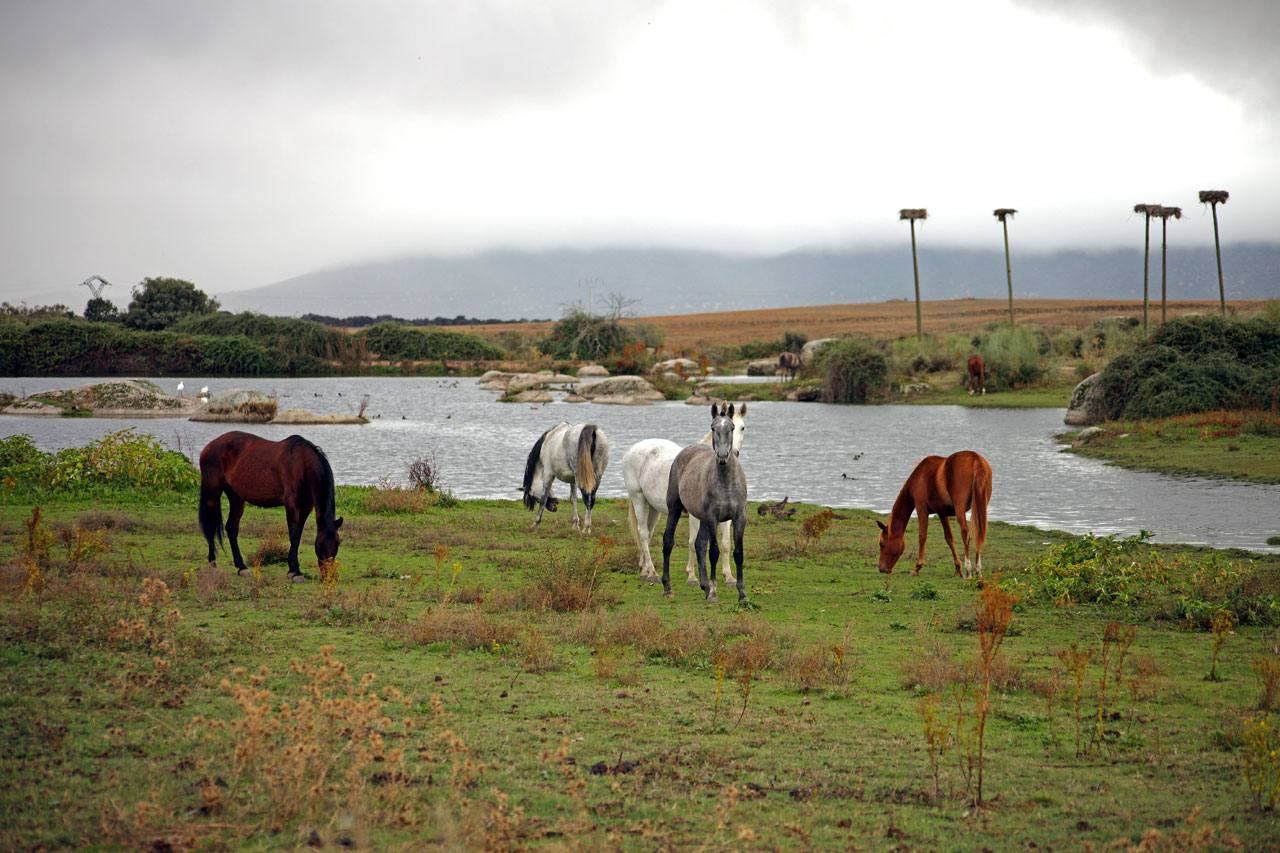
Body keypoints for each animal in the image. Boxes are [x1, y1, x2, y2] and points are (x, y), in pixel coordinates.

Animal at [198, 427, 343, 581]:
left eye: (337, 543)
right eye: (320, 543)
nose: (328, 577)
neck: (302, 464)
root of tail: (208, 447)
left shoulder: (306, 507)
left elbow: (298, 535)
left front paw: (292, 569)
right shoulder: (291, 504)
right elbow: (294, 535)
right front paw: (295, 571)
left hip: (235, 496)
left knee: (231, 528)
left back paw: (242, 567)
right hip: (212, 494)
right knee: (210, 527)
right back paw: (212, 563)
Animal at [616, 402, 742, 581]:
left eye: (741, 428)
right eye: (713, 428)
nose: (730, 454)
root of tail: (631, 450)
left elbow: (725, 543)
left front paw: (729, 576)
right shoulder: (695, 516)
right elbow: (693, 542)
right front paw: (692, 576)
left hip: (653, 507)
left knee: (647, 532)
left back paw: (644, 570)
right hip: (638, 499)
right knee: (643, 532)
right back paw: (652, 572)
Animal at [660, 402, 747, 601]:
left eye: (733, 427)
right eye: (713, 428)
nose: (723, 456)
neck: (725, 482)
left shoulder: (738, 518)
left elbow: (738, 553)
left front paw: (742, 594)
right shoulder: (712, 517)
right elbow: (714, 552)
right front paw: (714, 592)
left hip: (701, 518)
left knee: (699, 544)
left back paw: (704, 585)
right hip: (675, 508)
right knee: (668, 541)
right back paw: (668, 587)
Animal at [880, 445, 988, 578]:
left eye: (882, 544)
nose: (881, 569)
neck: (919, 476)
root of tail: (976, 459)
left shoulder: (921, 508)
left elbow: (922, 536)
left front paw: (917, 567)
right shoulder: (942, 513)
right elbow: (949, 538)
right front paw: (957, 568)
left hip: (960, 510)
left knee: (966, 534)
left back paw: (969, 571)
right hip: (980, 508)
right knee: (978, 534)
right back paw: (978, 570)